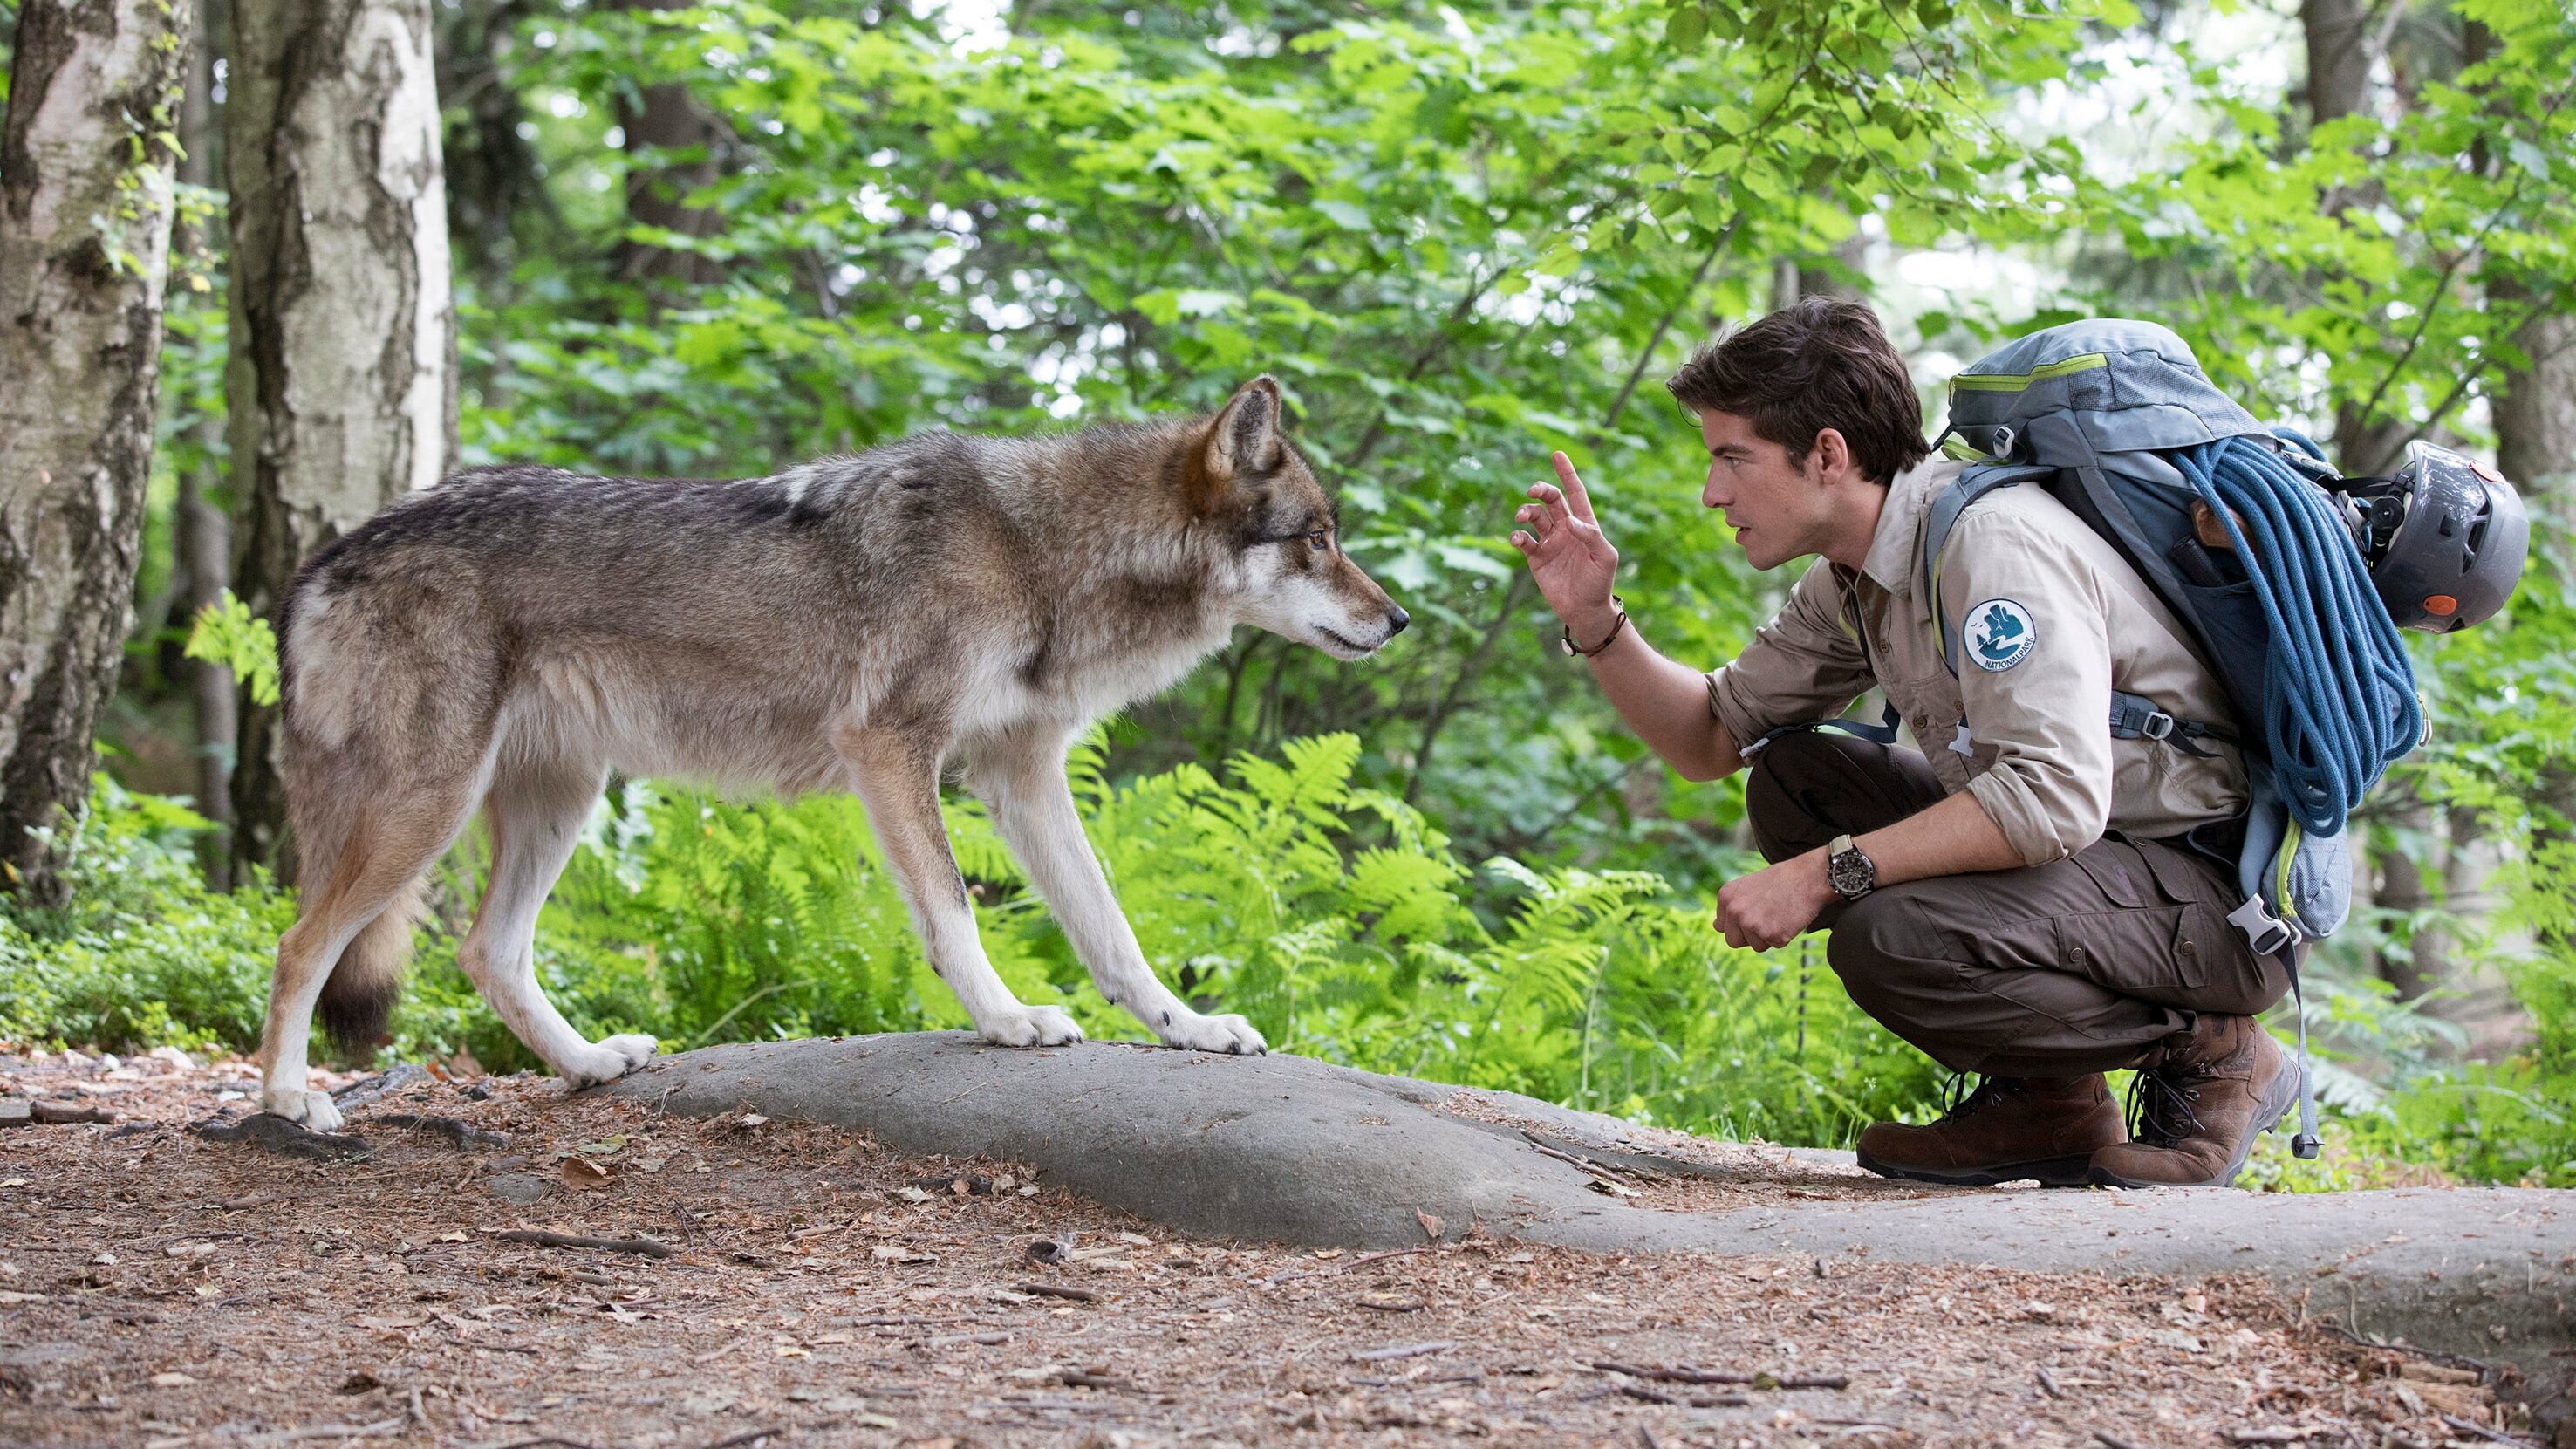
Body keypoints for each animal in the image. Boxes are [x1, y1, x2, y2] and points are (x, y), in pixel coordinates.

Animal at [256, 379, 1411, 1124]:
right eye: (1318, 538)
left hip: (556, 803)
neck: (1042, 552)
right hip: (429, 807)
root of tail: (329, 554)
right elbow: (953, 915)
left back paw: (587, 1064)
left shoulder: (1021, 774)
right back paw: (289, 1102)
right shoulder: (893, 750)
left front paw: (1190, 1028)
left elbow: (1112, 932)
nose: (1398, 619)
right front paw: (1007, 1019)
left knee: (485, 952)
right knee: (301, 944)